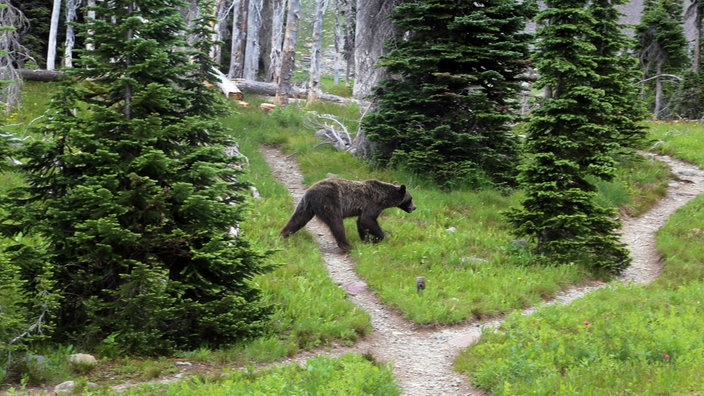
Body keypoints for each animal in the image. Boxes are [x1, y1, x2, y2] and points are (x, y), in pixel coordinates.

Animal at [280, 177, 416, 251]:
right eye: (411, 198)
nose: (414, 207)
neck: (385, 198)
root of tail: (310, 192)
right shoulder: (372, 203)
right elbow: (368, 220)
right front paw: (379, 237)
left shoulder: (365, 208)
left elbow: (361, 222)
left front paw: (366, 240)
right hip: (330, 202)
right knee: (337, 223)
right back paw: (347, 245)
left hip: (306, 206)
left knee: (297, 219)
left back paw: (283, 235)